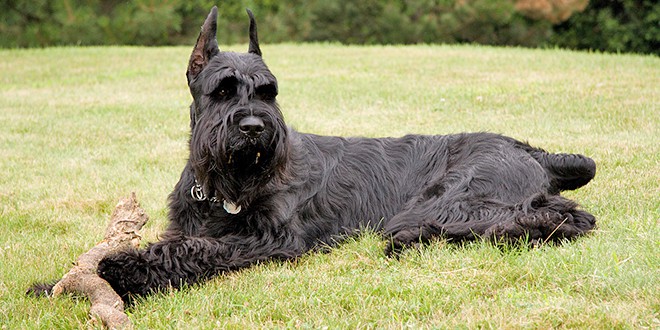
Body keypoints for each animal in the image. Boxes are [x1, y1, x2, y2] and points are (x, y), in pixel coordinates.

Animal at [29, 7, 600, 302]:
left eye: (269, 91)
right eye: (223, 90)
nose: (255, 128)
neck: (225, 187)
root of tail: (532, 151)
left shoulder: (269, 238)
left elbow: (190, 252)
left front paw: (119, 272)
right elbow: (174, 242)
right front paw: (54, 283)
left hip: (453, 201)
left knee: (562, 217)